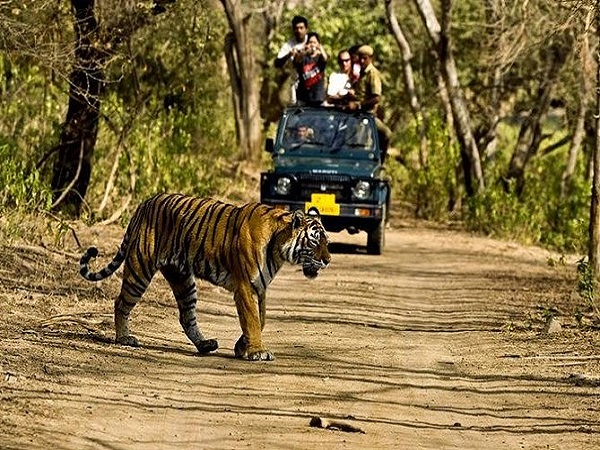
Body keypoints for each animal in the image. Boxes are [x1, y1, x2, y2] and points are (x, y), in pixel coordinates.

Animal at [78, 192, 330, 360]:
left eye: (327, 241)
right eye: (315, 240)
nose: (328, 260)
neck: (278, 246)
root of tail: (145, 203)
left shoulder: (260, 287)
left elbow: (261, 319)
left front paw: (242, 347)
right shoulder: (246, 286)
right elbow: (252, 319)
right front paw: (257, 351)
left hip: (183, 279)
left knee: (186, 316)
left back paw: (205, 345)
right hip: (140, 269)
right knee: (121, 302)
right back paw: (124, 338)